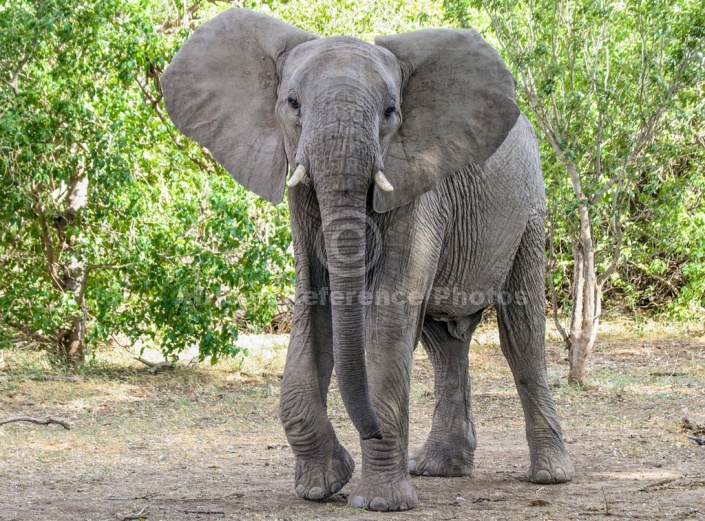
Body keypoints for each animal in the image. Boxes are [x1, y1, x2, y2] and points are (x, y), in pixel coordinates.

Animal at [162, 9, 576, 512]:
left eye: (391, 112)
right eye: (292, 103)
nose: (371, 429)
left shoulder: (419, 187)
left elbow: (388, 319)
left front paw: (380, 502)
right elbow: (314, 310)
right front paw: (323, 485)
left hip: (530, 209)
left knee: (521, 335)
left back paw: (550, 476)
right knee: (445, 343)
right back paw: (439, 468)